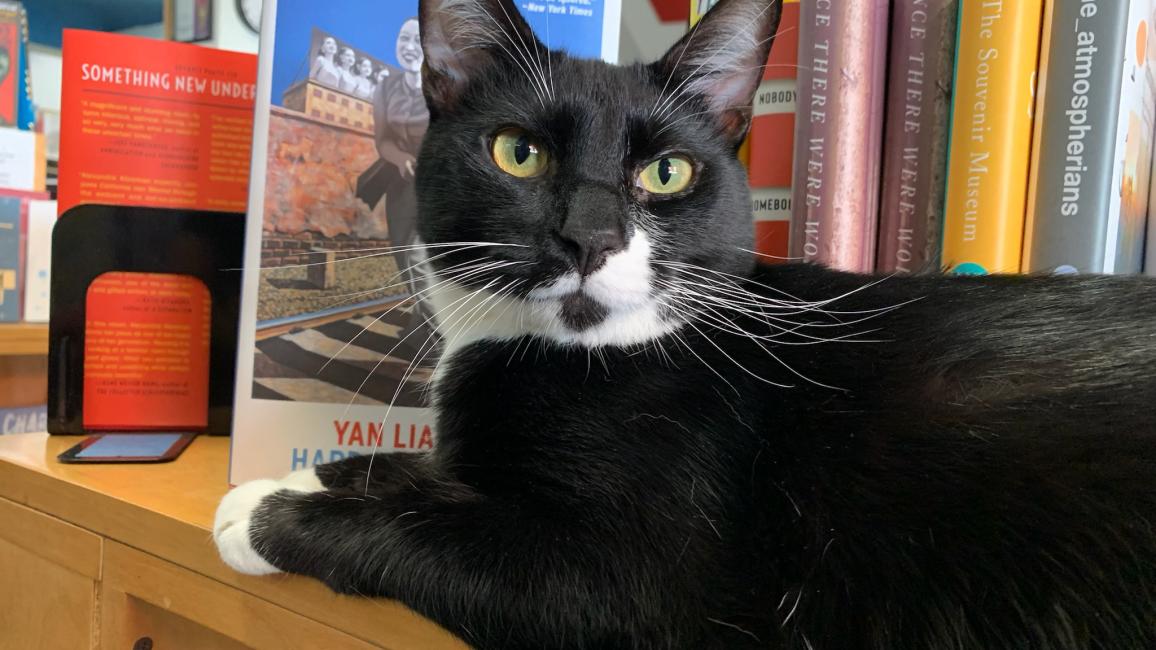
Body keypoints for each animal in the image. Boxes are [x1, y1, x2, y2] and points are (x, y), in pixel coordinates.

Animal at [215, 1, 1156, 643]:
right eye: (519, 152)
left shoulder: (641, 576)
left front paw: (268, 515)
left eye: (665, 172)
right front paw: (306, 477)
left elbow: (440, 531)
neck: (573, 355)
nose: (589, 235)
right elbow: (424, 472)